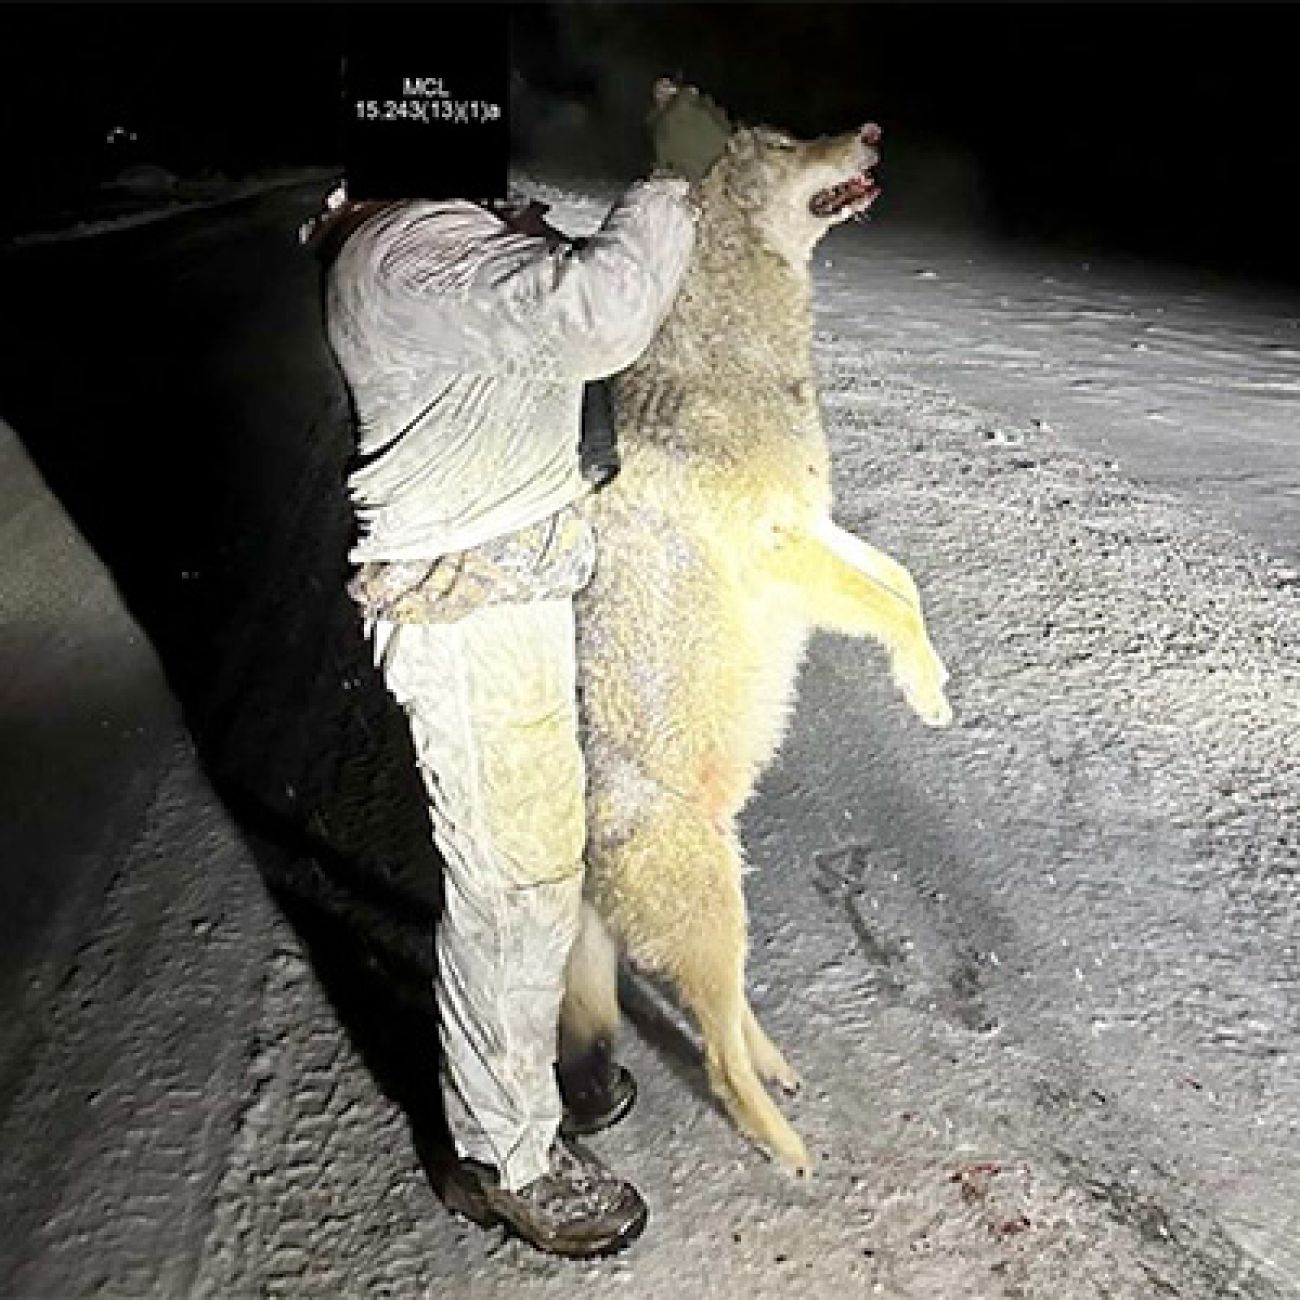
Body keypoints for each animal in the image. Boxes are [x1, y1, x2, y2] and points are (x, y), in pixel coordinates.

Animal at [561, 83, 956, 1180]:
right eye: (784, 143)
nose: (871, 130)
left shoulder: (820, 532)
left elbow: (902, 587)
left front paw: (930, 685)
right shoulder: (783, 553)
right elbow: (887, 602)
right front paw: (924, 689)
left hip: (726, 901)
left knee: (728, 1019)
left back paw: (779, 1073)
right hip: (710, 907)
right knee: (717, 1058)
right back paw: (785, 1146)